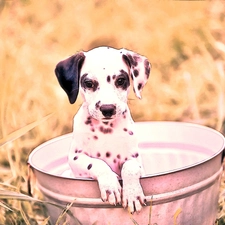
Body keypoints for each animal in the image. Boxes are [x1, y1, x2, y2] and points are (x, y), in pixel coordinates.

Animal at [54, 46, 151, 213]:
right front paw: (110, 186)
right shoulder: (76, 158)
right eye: (88, 83)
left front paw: (132, 194)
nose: (107, 108)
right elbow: (97, 163)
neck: (106, 130)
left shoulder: (136, 161)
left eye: (120, 80)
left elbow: (129, 166)